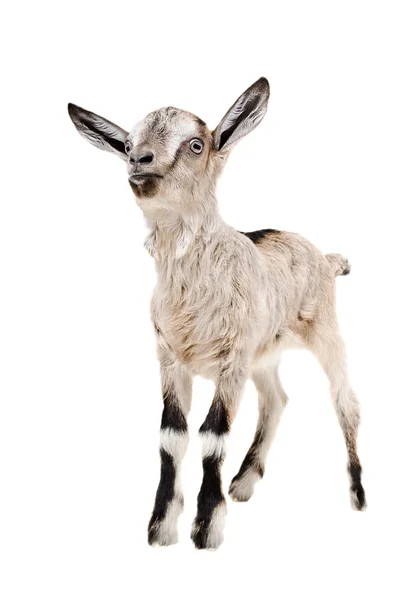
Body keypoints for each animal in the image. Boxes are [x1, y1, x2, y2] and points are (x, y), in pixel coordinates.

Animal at [67, 77, 366, 552]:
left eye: (196, 144)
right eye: (128, 142)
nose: (138, 160)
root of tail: (326, 257)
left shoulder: (230, 363)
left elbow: (213, 434)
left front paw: (207, 527)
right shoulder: (171, 359)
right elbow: (171, 436)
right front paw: (162, 526)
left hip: (324, 332)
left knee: (345, 401)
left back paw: (357, 494)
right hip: (263, 355)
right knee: (276, 400)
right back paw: (244, 483)